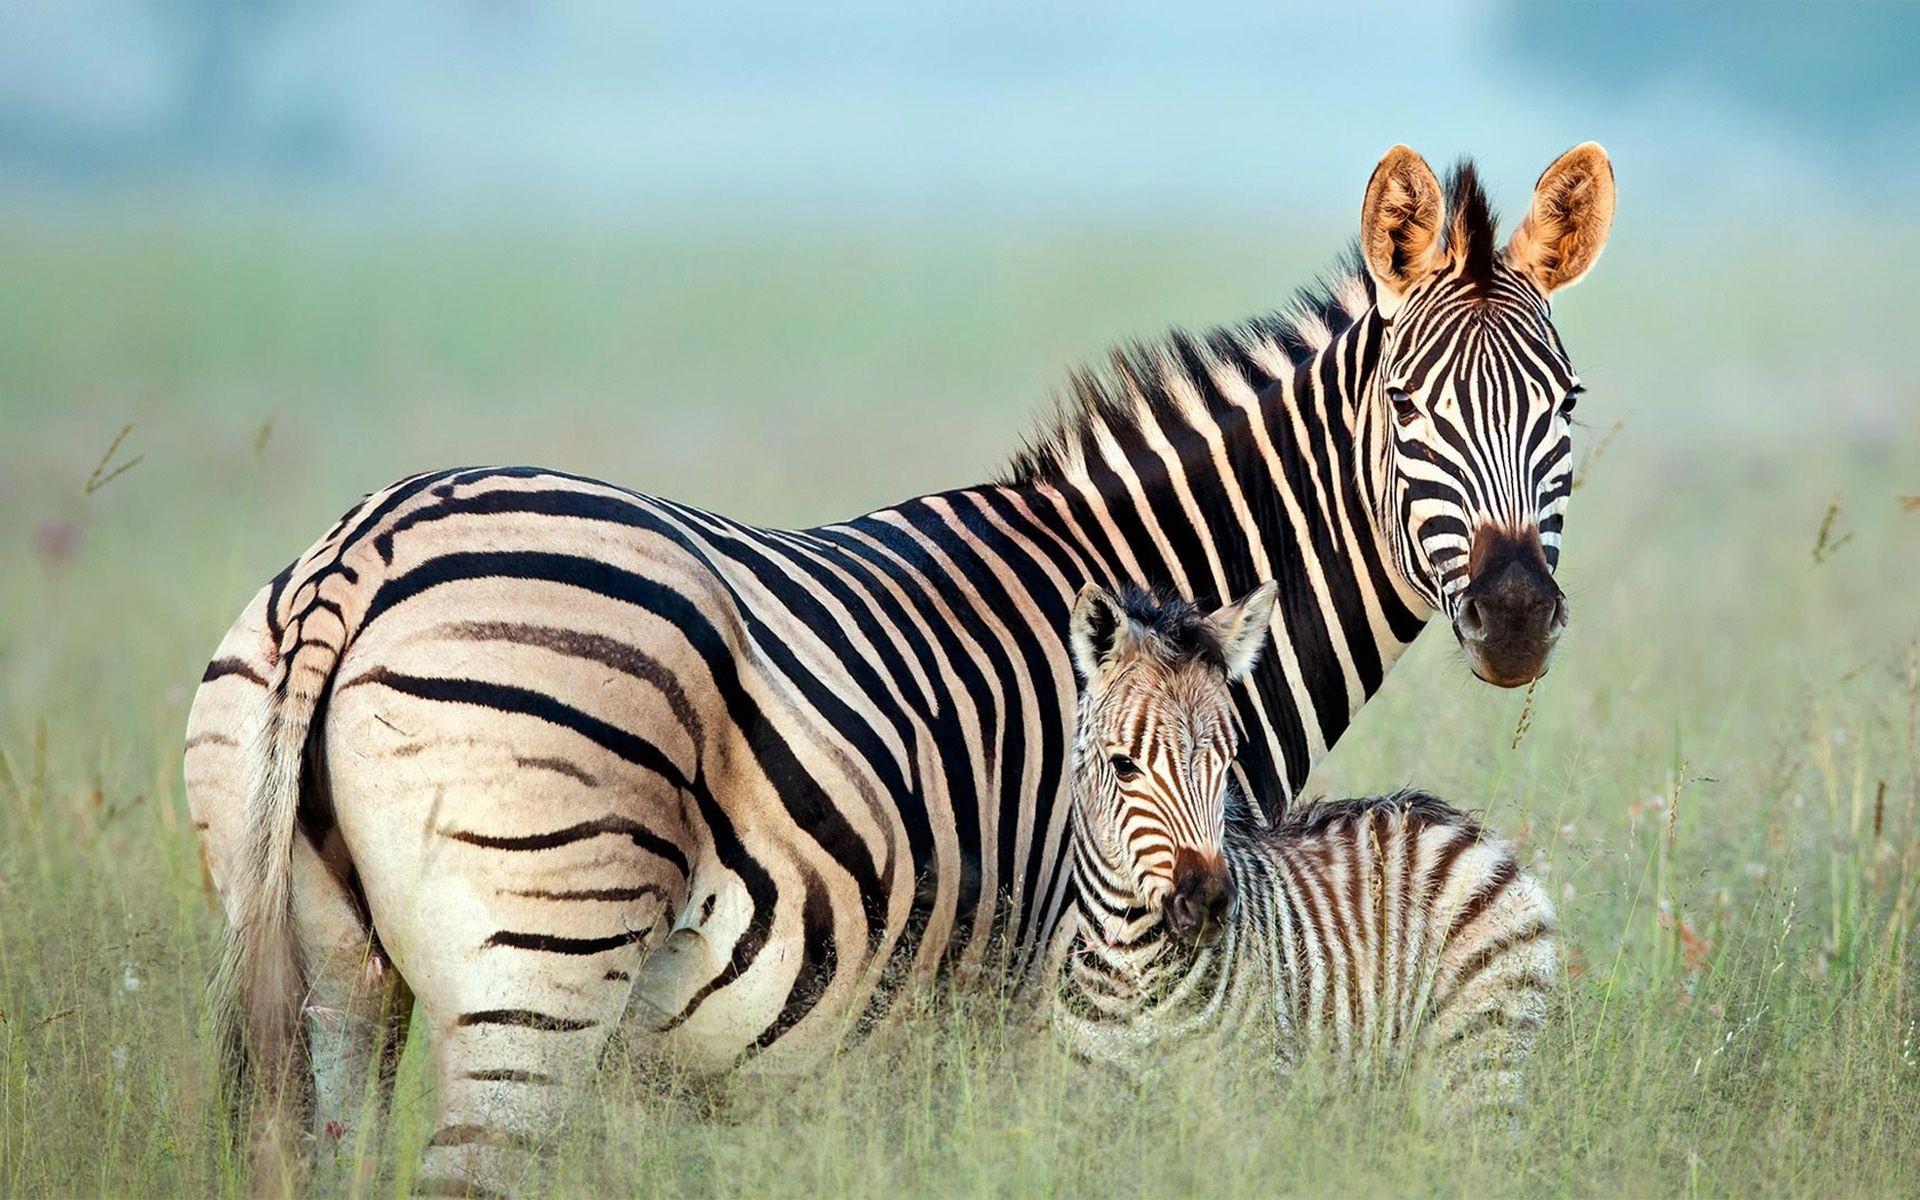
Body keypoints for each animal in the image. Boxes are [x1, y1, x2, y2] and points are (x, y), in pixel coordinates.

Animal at [1055, 582, 1557, 1100]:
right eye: (1123, 765)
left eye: (1227, 762)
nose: (1211, 904)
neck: (1129, 962)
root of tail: (1454, 820)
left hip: (1482, 1056)